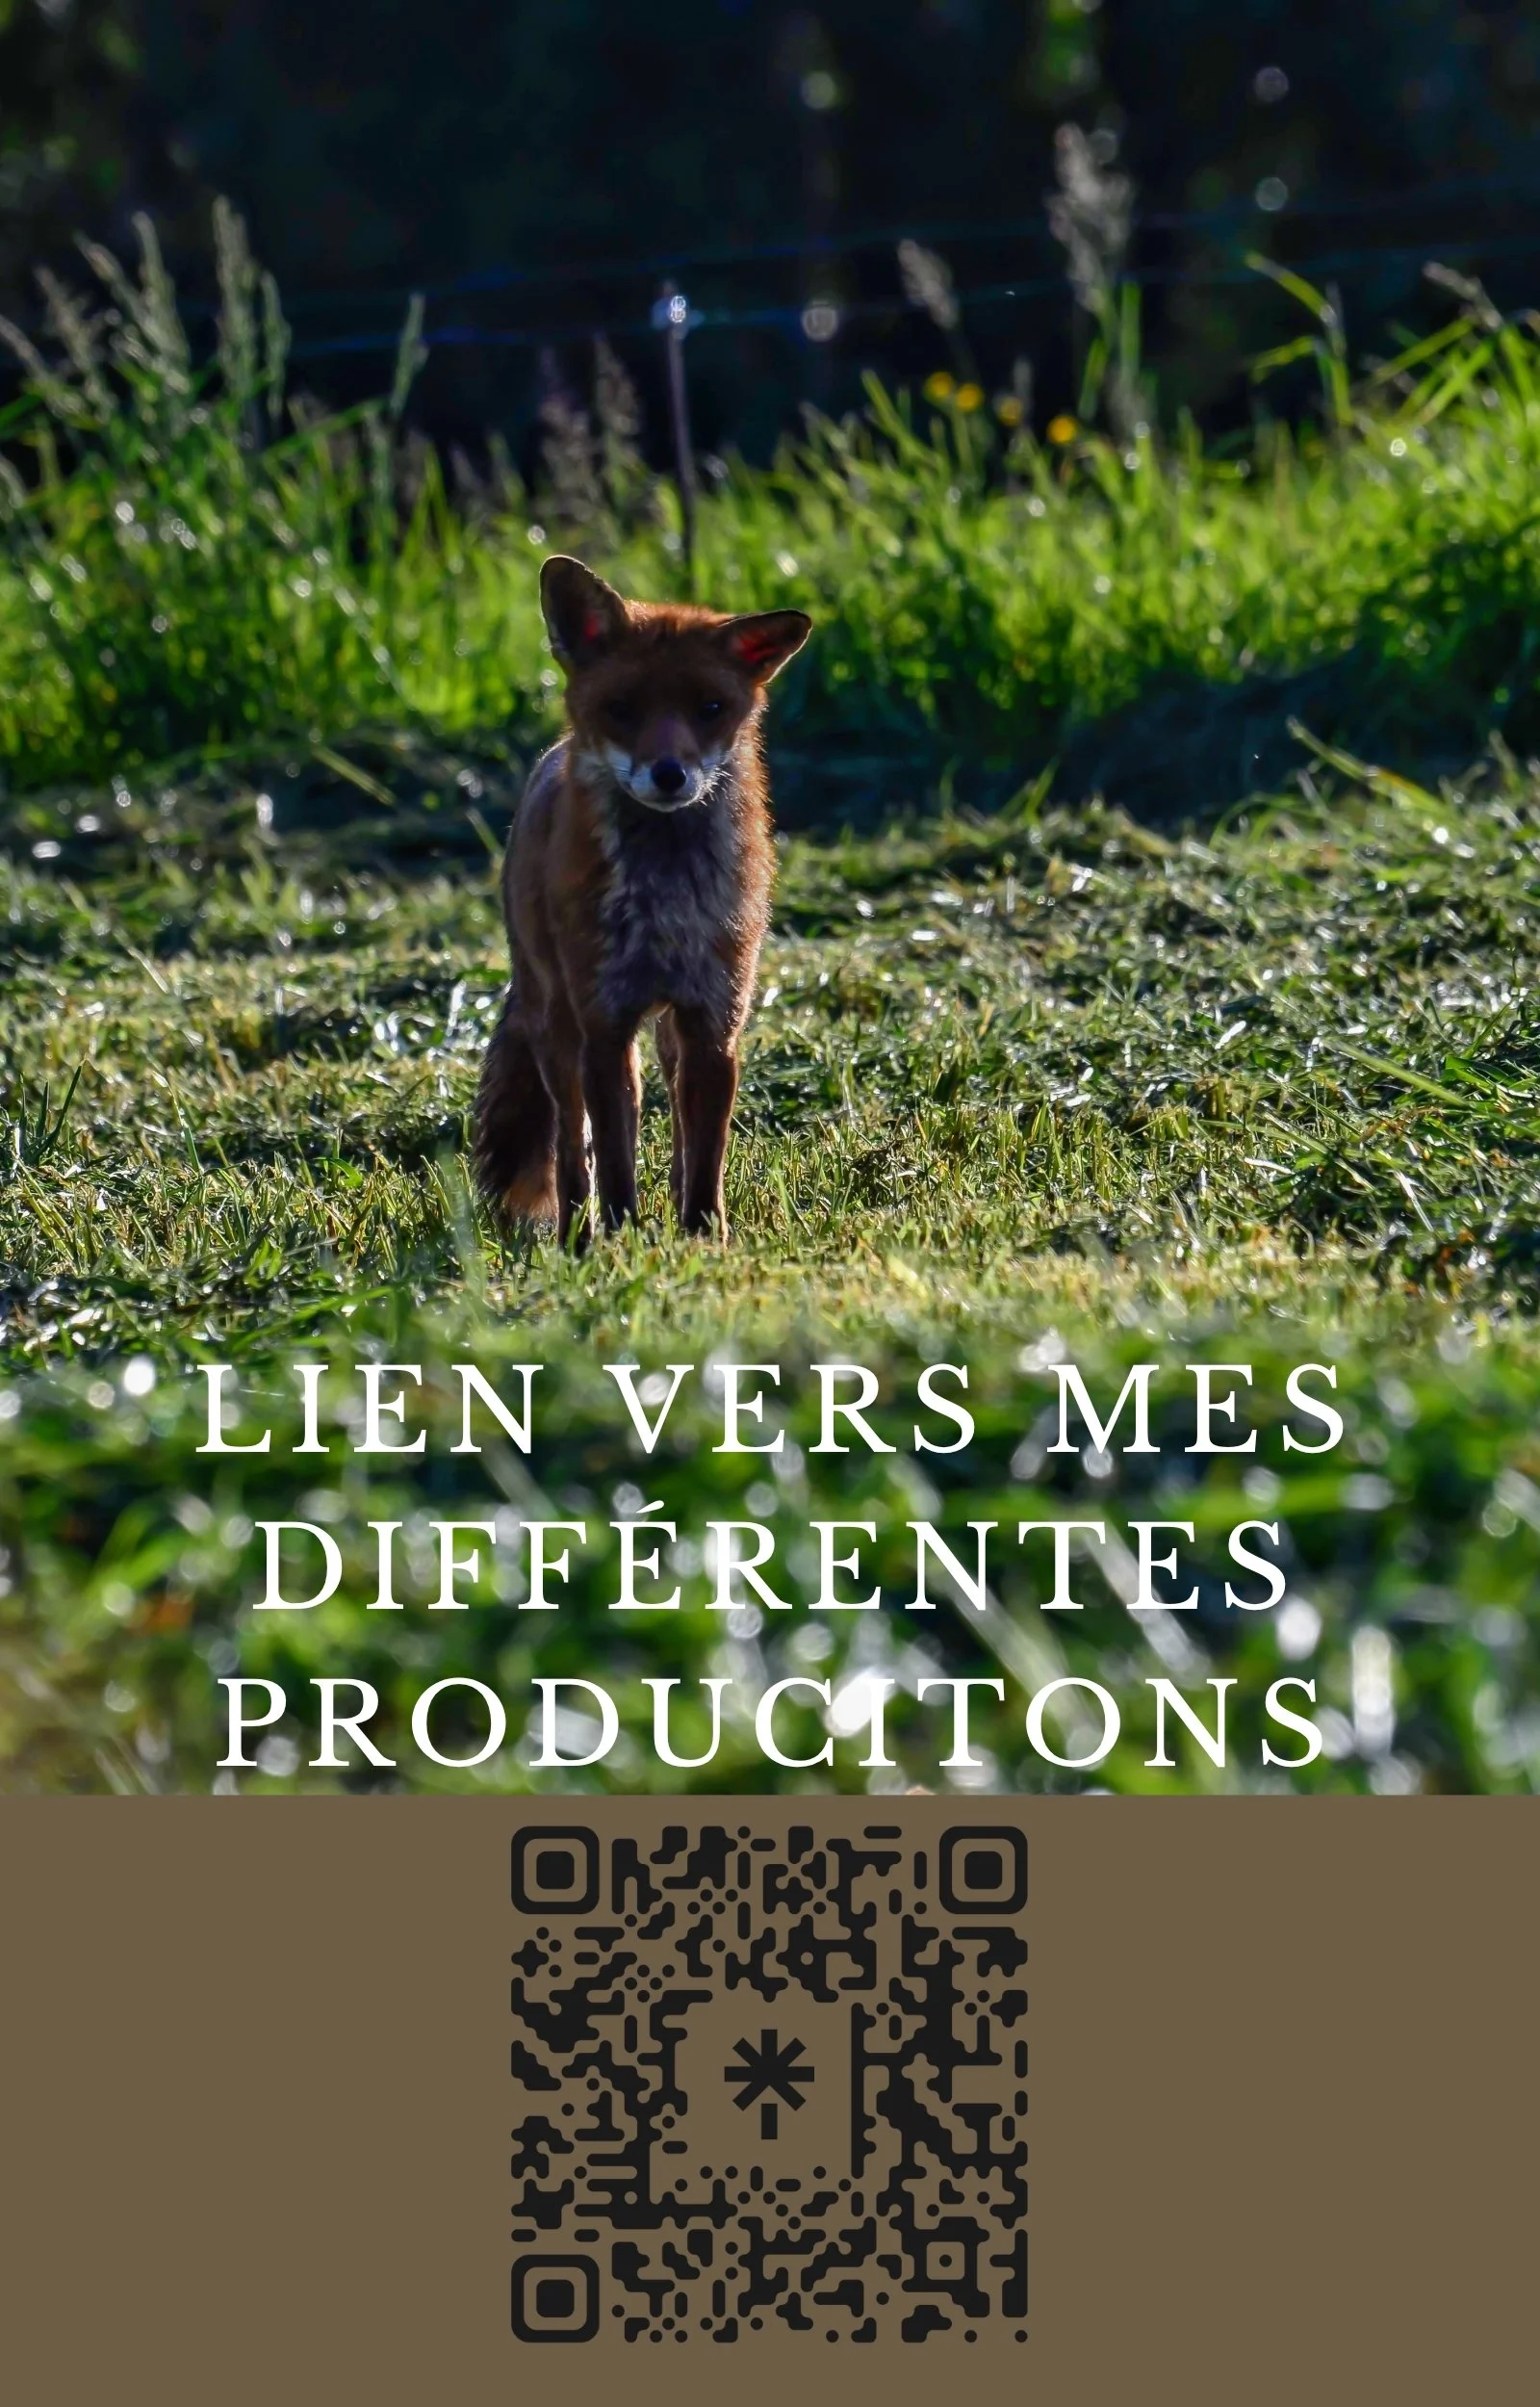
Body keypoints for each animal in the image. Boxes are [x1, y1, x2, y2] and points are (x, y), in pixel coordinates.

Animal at [473, 555, 812, 1244]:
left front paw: (705, 1238)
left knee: (677, 1128)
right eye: (621, 709)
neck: (666, 898)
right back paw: (576, 1237)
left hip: (666, 1037)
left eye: (710, 707)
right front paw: (620, 1237)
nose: (669, 774)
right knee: (571, 1149)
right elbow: (613, 1161)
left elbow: (704, 1157)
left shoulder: (714, 1022)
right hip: (557, 1027)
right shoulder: (605, 1026)